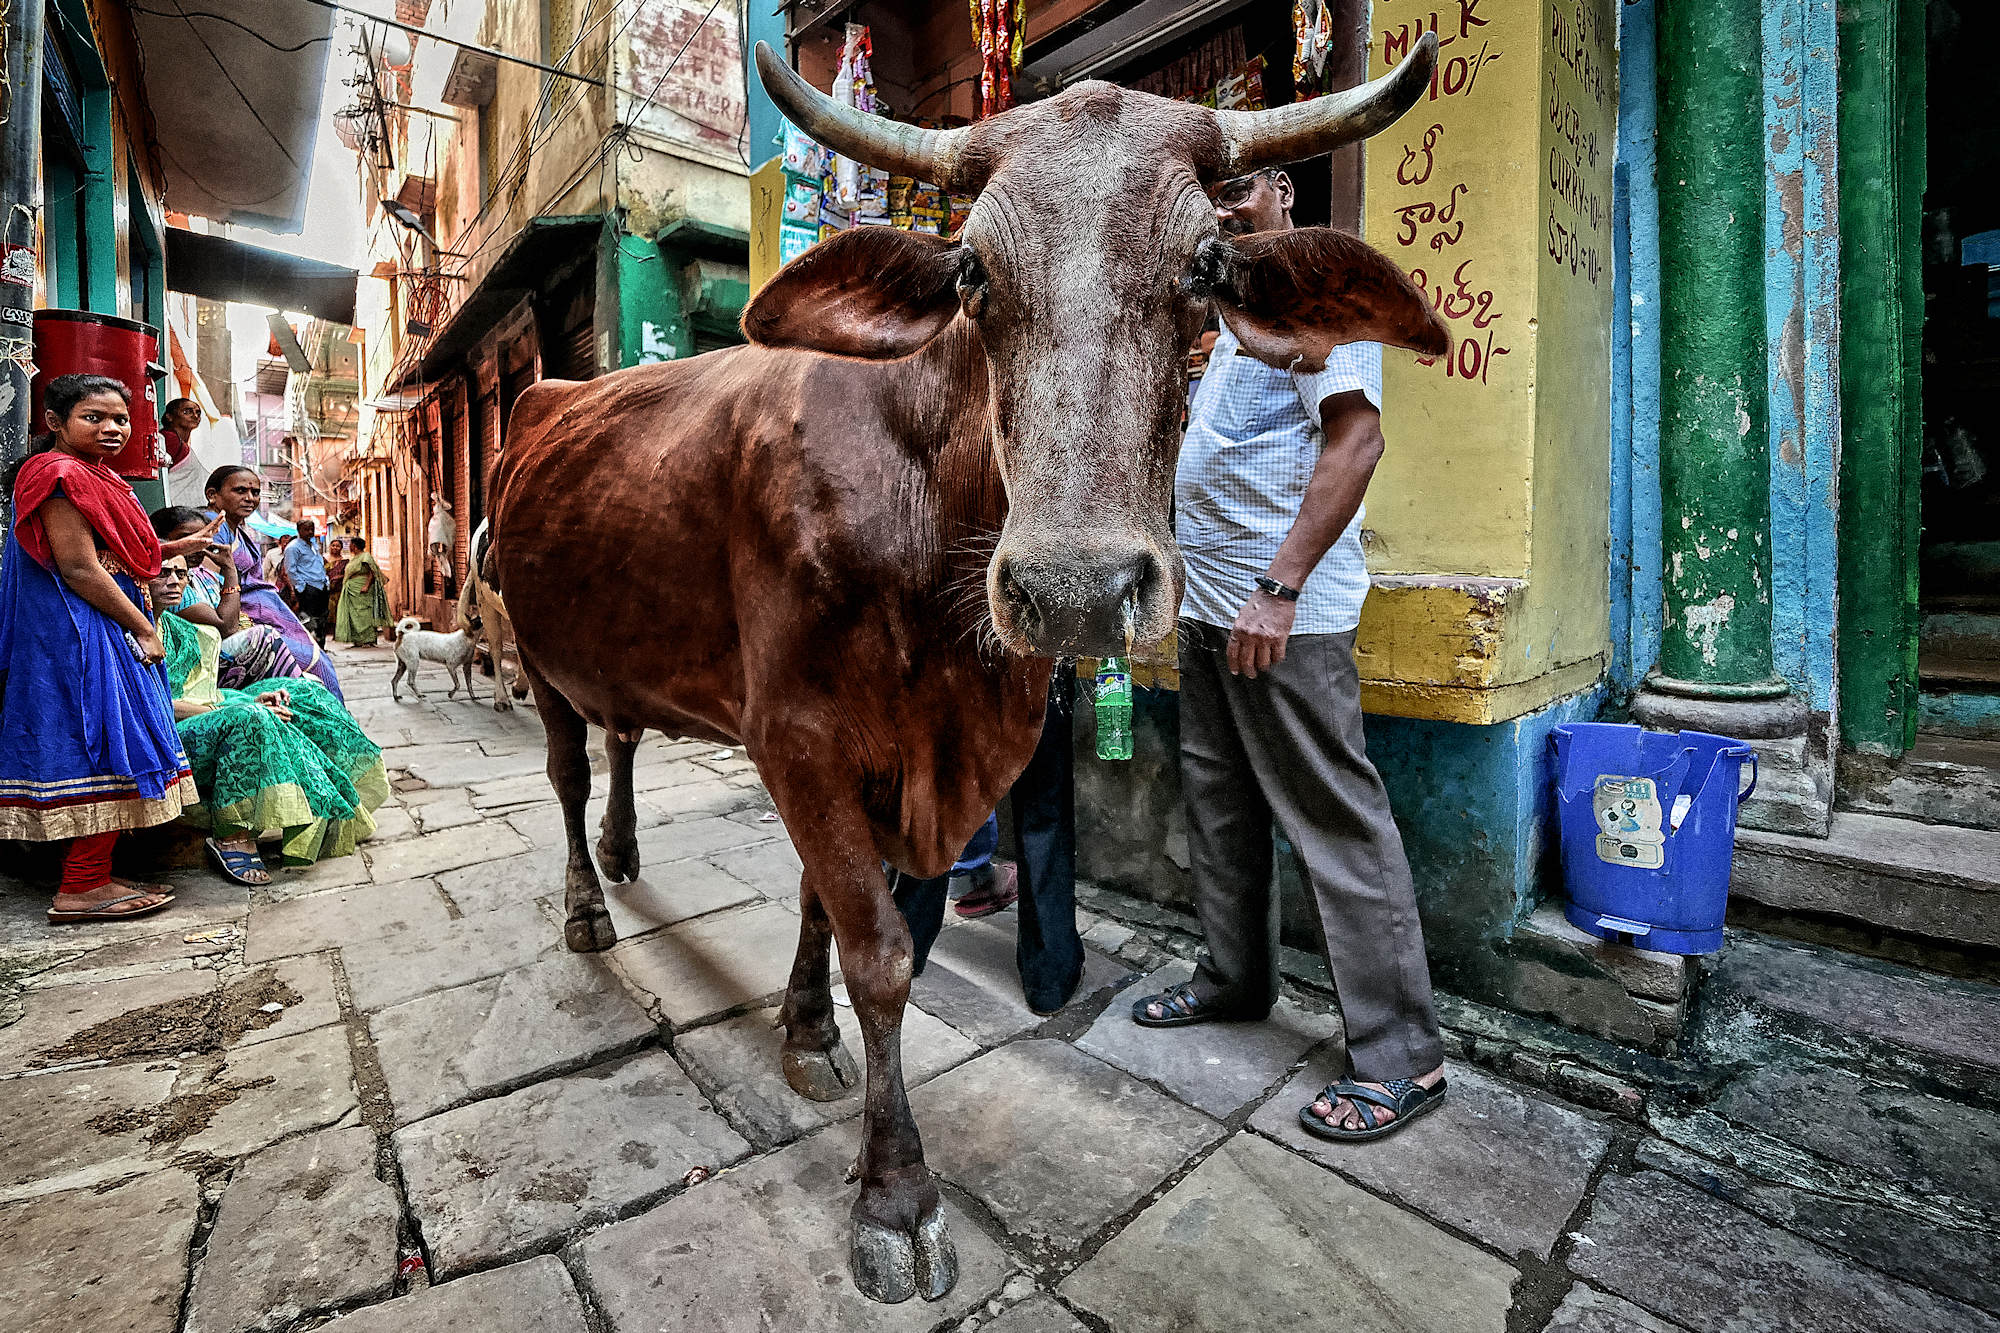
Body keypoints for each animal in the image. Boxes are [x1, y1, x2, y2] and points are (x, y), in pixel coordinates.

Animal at [492, 36, 1448, 1304]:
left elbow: (820, 908)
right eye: (972, 275)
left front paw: (804, 1031)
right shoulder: (797, 735)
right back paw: (587, 905)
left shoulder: (851, 754)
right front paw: (896, 1196)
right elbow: (881, 956)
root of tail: (551, 394)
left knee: (621, 737)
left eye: (1202, 269)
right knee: (562, 770)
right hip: (534, 645)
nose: (1075, 587)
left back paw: (625, 851)